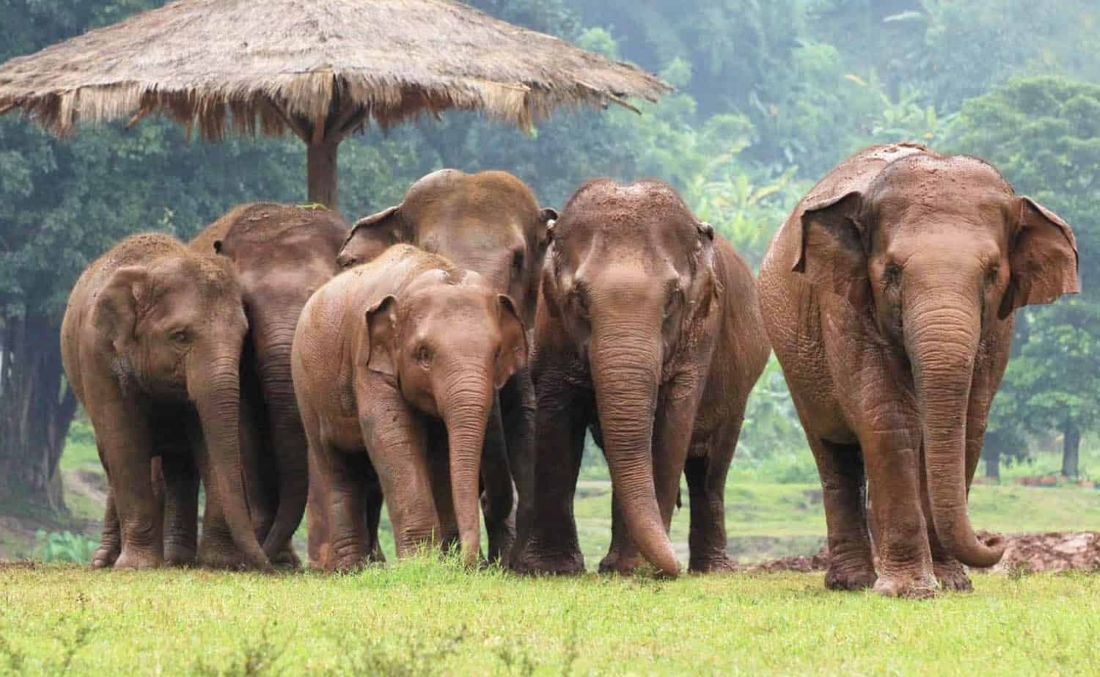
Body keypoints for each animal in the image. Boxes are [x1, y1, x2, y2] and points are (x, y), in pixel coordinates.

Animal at [60, 233, 269, 570]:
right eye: (180, 336)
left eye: (243, 336)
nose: (266, 563)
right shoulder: (98, 354)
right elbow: (125, 441)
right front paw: (137, 566)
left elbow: (206, 442)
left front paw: (218, 562)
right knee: (111, 457)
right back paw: (105, 561)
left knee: (178, 465)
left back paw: (177, 559)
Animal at [292, 244, 528, 571]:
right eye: (423, 354)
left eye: (496, 354)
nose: (470, 563)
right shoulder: (367, 362)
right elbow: (394, 438)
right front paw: (420, 563)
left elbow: (441, 452)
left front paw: (443, 559)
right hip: (307, 388)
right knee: (335, 465)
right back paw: (350, 569)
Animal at [514, 180, 770, 577]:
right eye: (579, 299)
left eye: (673, 299)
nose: (673, 567)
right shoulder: (550, 326)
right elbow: (556, 420)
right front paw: (551, 569)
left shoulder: (699, 337)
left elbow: (670, 428)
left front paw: (637, 569)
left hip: (739, 390)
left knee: (710, 469)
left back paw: (709, 569)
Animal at [757, 144, 1079, 598]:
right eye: (892, 272)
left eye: (992, 274)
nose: (996, 540)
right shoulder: (845, 308)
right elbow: (887, 420)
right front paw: (908, 591)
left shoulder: (1000, 327)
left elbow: (969, 425)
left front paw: (953, 583)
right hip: (794, 362)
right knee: (833, 451)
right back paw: (852, 583)